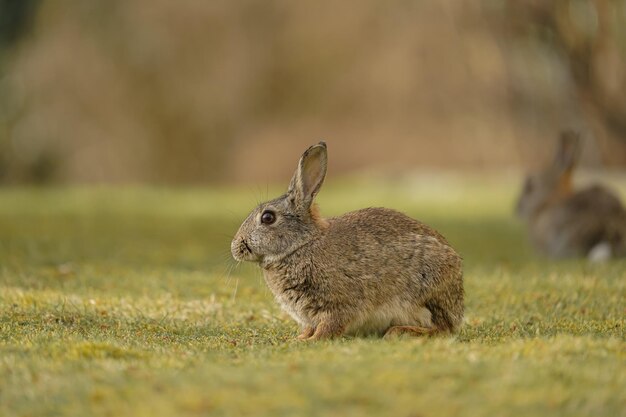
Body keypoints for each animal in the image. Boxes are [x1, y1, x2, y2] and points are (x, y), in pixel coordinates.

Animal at [230, 141, 464, 340]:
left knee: (442, 328)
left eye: (268, 218)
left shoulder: (338, 302)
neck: (302, 244)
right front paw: (300, 338)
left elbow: (330, 325)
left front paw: (311, 341)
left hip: (425, 292)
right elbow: (309, 327)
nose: (235, 247)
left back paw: (399, 331)